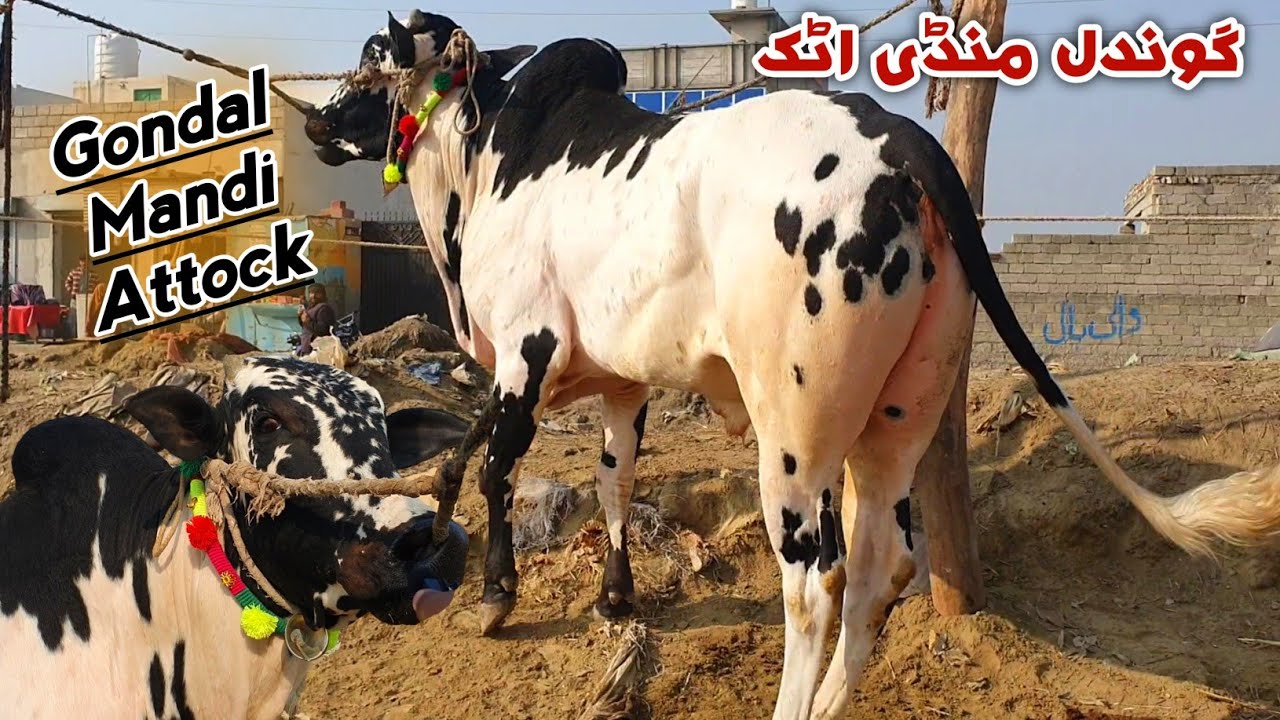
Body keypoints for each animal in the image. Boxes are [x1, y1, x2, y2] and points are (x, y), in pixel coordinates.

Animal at [302, 12, 1280, 719]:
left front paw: (498, 596)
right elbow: (615, 481)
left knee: (817, 583)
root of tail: (906, 142)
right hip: (898, 415)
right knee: (884, 567)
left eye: (375, 54)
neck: (494, 160)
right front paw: (618, 598)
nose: (316, 118)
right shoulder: (624, 380)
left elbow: (499, 468)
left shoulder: (525, 354)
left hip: (794, 432)